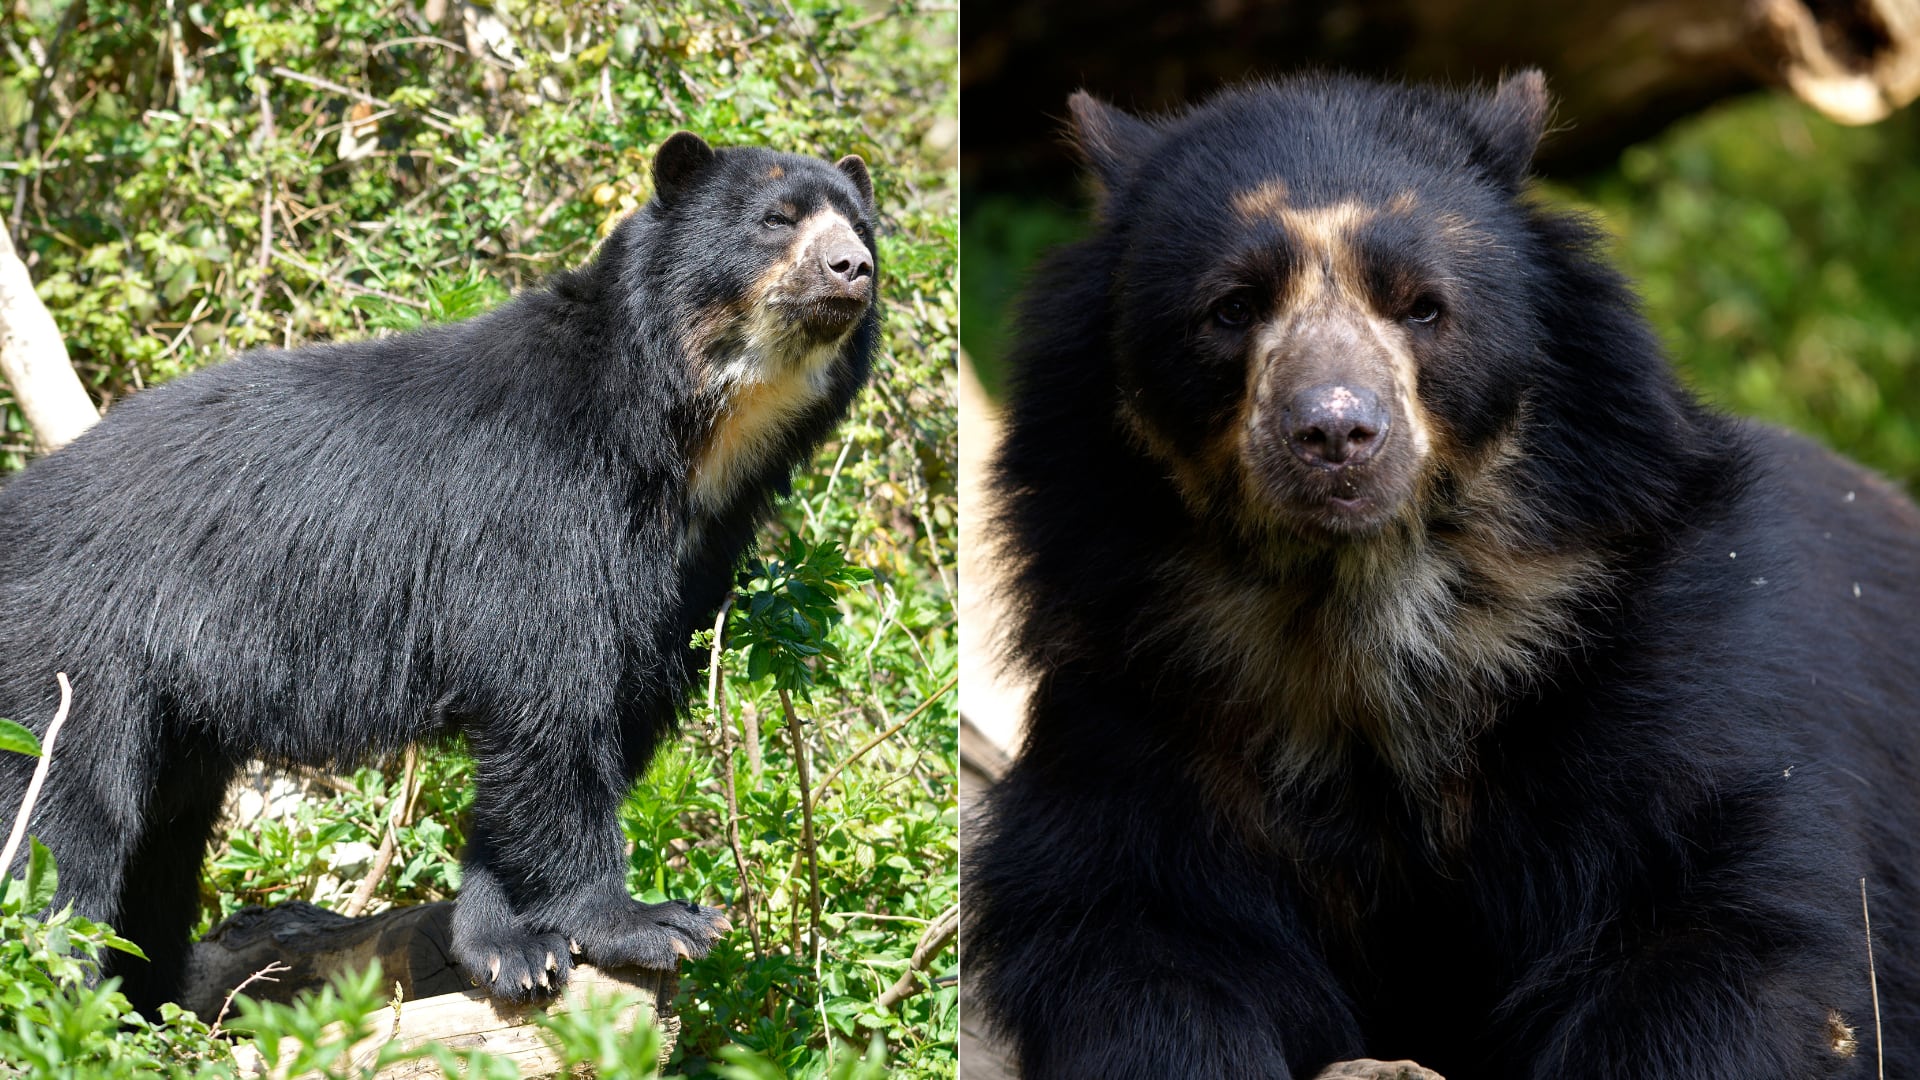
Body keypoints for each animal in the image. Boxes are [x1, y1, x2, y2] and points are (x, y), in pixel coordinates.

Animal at [0, 130, 879, 1016]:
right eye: (776, 220)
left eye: (861, 224)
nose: (853, 267)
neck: (690, 432)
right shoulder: (539, 514)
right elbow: (553, 704)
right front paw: (642, 921)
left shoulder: (685, 567)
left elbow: (606, 711)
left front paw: (505, 942)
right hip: (73, 653)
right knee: (60, 819)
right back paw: (60, 992)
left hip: (173, 717)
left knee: (161, 842)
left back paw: (145, 1004)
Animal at [966, 71, 1920, 1078]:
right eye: (1231, 307)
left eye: (1423, 306)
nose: (1335, 433)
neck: (1363, 603)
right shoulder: (1145, 694)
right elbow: (1147, 930)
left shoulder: (1649, 663)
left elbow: (1709, 919)